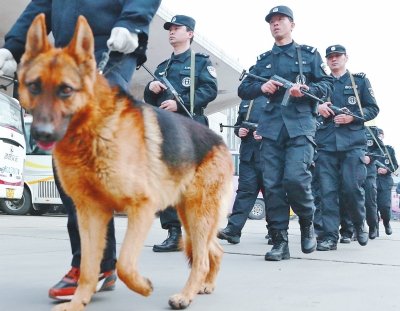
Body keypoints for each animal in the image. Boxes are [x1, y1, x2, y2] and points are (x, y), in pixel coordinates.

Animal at [17, 13, 233, 310]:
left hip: (198, 214)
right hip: (190, 216)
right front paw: (78, 301)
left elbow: (125, 264)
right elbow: (89, 266)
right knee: (215, 250)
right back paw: (206, 285)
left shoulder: (141, 208)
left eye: (66, 90)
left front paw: (143, 286)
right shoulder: (90, 214)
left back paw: (186, 295)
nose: (42, 134)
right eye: (34, 87)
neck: (92, 134)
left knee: (200, 259)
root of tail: (221, 141)